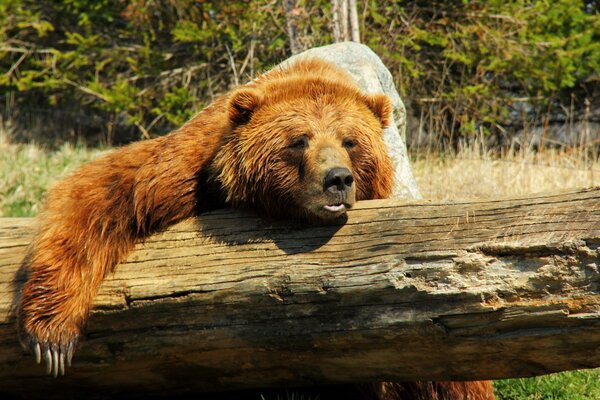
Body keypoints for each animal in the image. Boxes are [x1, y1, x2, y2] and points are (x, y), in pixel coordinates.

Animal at [18, 58, 494, 400]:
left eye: (350, 140)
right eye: (299, 139)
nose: (337, 179)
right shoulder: (180, 176)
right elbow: (100, 195)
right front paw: (52, 339)